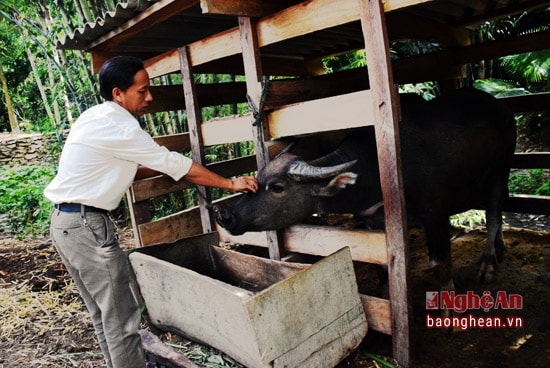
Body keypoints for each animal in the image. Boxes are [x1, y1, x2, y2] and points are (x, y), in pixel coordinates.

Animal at [216, 88, 516, 288]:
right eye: (258, 177)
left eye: (277, 187)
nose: (226, 215)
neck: (375, 171)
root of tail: (501, 108)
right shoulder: (374, 223)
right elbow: (381, 268)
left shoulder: (435, 216)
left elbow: (440, 266)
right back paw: (500, 247)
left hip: (500, 174)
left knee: (493, 215)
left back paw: (489, 262)